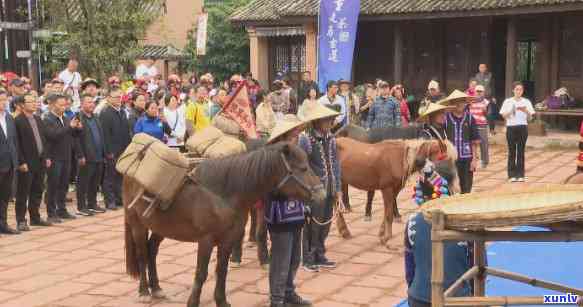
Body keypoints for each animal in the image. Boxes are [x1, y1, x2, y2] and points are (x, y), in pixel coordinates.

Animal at [123, 143, 326, 306]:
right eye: (303, 168)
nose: (322, 194)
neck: (221, 194)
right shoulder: (205, 241)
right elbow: (201, 273)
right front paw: (193, 302)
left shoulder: (228, 239)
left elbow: (222, 270)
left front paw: (221, 301)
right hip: (137, 224)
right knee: (142, 254)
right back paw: (144, 291)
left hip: (162, 227)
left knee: (151, 251)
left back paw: (156, 288)